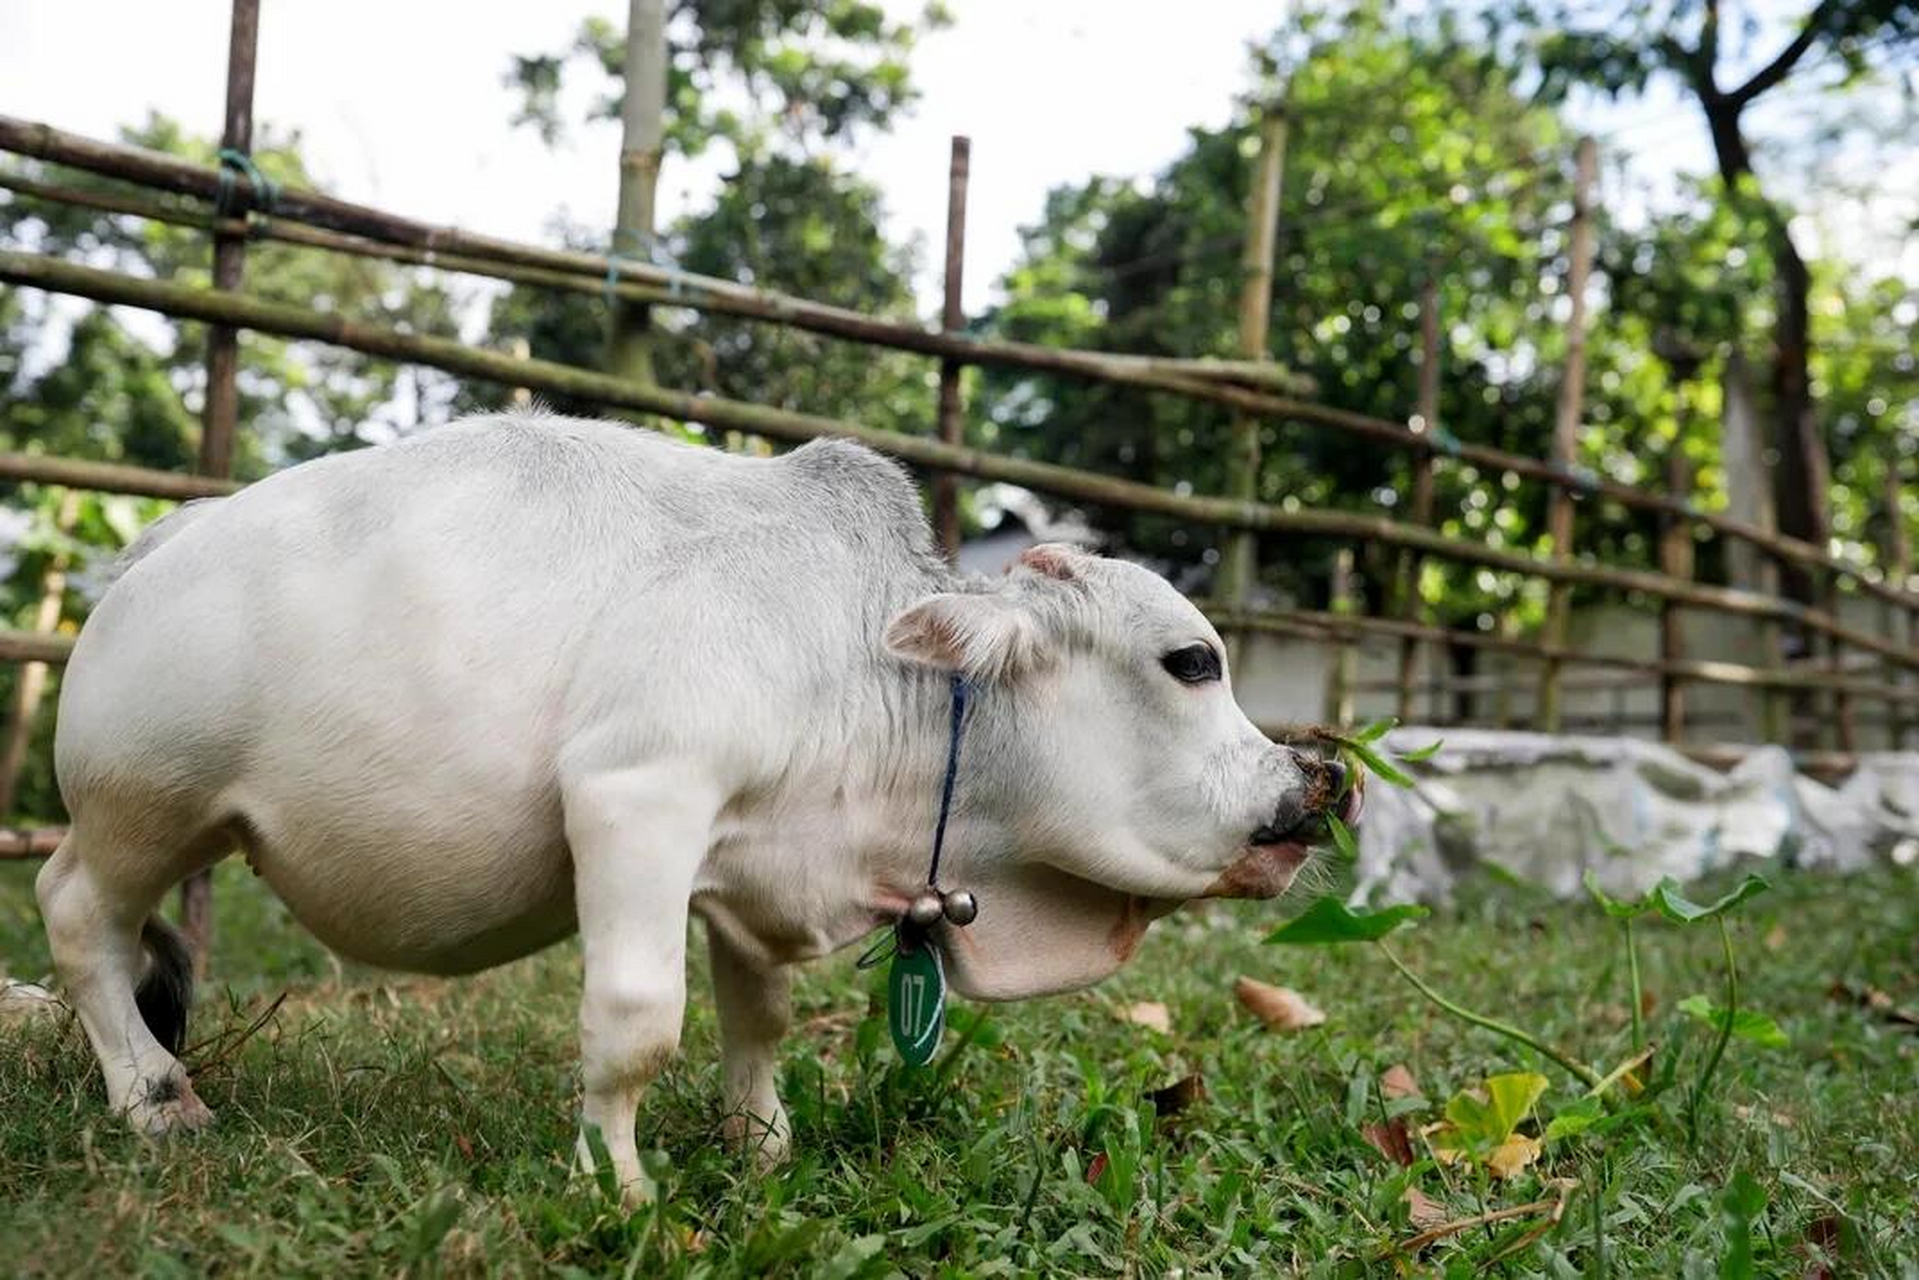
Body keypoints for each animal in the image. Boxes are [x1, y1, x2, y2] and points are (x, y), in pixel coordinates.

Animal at [33, 412, 1350, 1205]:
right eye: (1192, 660)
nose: (1315, 781)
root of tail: (162, 540)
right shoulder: (637, 795)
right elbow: (636, 1020)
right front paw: (615, 1182)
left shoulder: (749, 862)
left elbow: (756, 1018)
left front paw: (759, 1145)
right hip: (145, 803)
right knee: (74, 912)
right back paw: (156, 1098)